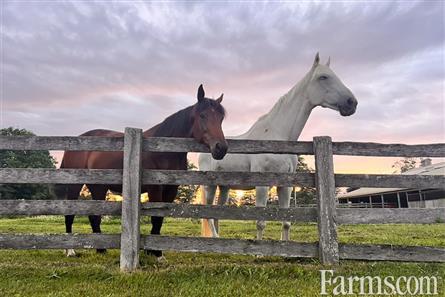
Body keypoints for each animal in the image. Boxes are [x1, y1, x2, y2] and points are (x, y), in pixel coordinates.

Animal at [56, 84, 227, 258]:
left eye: (221, 118)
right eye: (203, 115)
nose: (221, 148)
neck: (164, 150)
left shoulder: (171, 189)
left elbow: (161, 218)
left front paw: (153, 251)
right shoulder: (155, 188)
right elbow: (156, 218)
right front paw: (157, 253)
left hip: (99, 187)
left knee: (94, 216)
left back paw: (101, 249)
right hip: (75, 186)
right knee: (70, 214)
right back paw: (70, 251)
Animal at [199, 52, 360, 238]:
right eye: (323, 77)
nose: (351, 103)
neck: (278, 136)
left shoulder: (286, 186)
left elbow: (287, 222)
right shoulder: (262, 186)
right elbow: (260, 223)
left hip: (224, 187)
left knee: (216, 213)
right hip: (209, 186)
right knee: (208, 214)